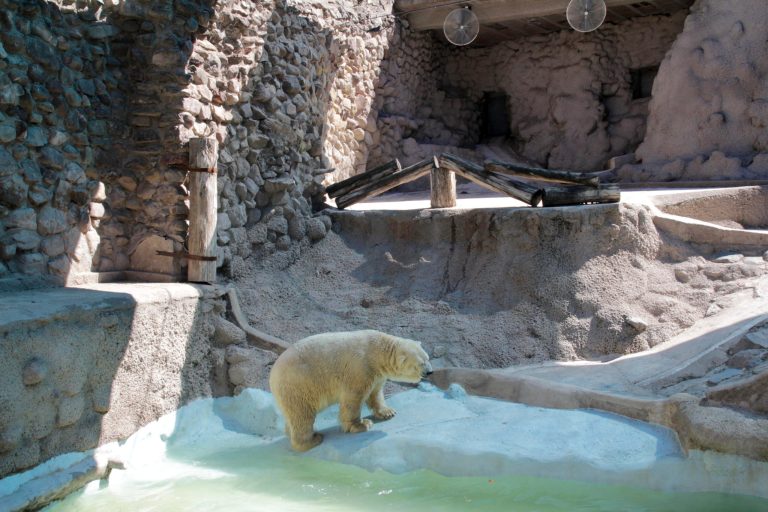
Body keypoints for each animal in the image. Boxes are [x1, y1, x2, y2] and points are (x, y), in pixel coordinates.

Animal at [268, 329, 432, 452]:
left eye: (428, 358)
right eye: (421, 363)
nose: (430, 372)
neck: (377, 351)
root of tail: (272, 375)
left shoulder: (377, 373)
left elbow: (375, 393)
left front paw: (388, 412)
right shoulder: (360, 368)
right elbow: (353, 397)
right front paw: (361, 425)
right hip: (299, 384)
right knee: (302, 415)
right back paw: (312, 440)